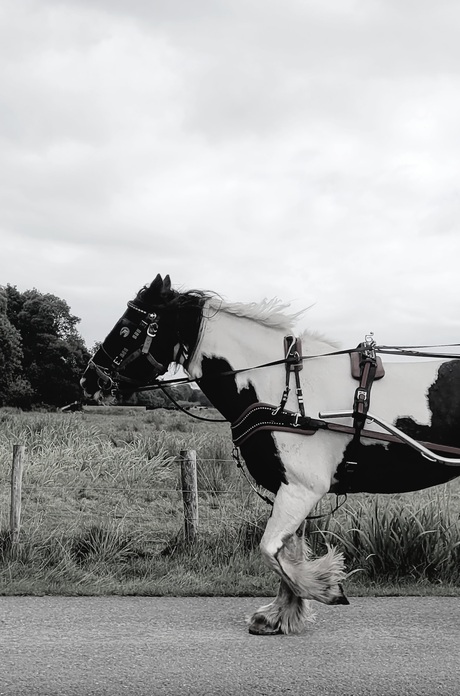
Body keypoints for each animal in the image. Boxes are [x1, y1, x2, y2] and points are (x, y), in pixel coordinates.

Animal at [80, 274, 460, 635]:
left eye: (128, 327)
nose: (88, 380)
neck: (282, 390)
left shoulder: (301, 489)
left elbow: (271, 550)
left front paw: (322, 588)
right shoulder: (289, 489)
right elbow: (285, 553)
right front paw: (281, 614)